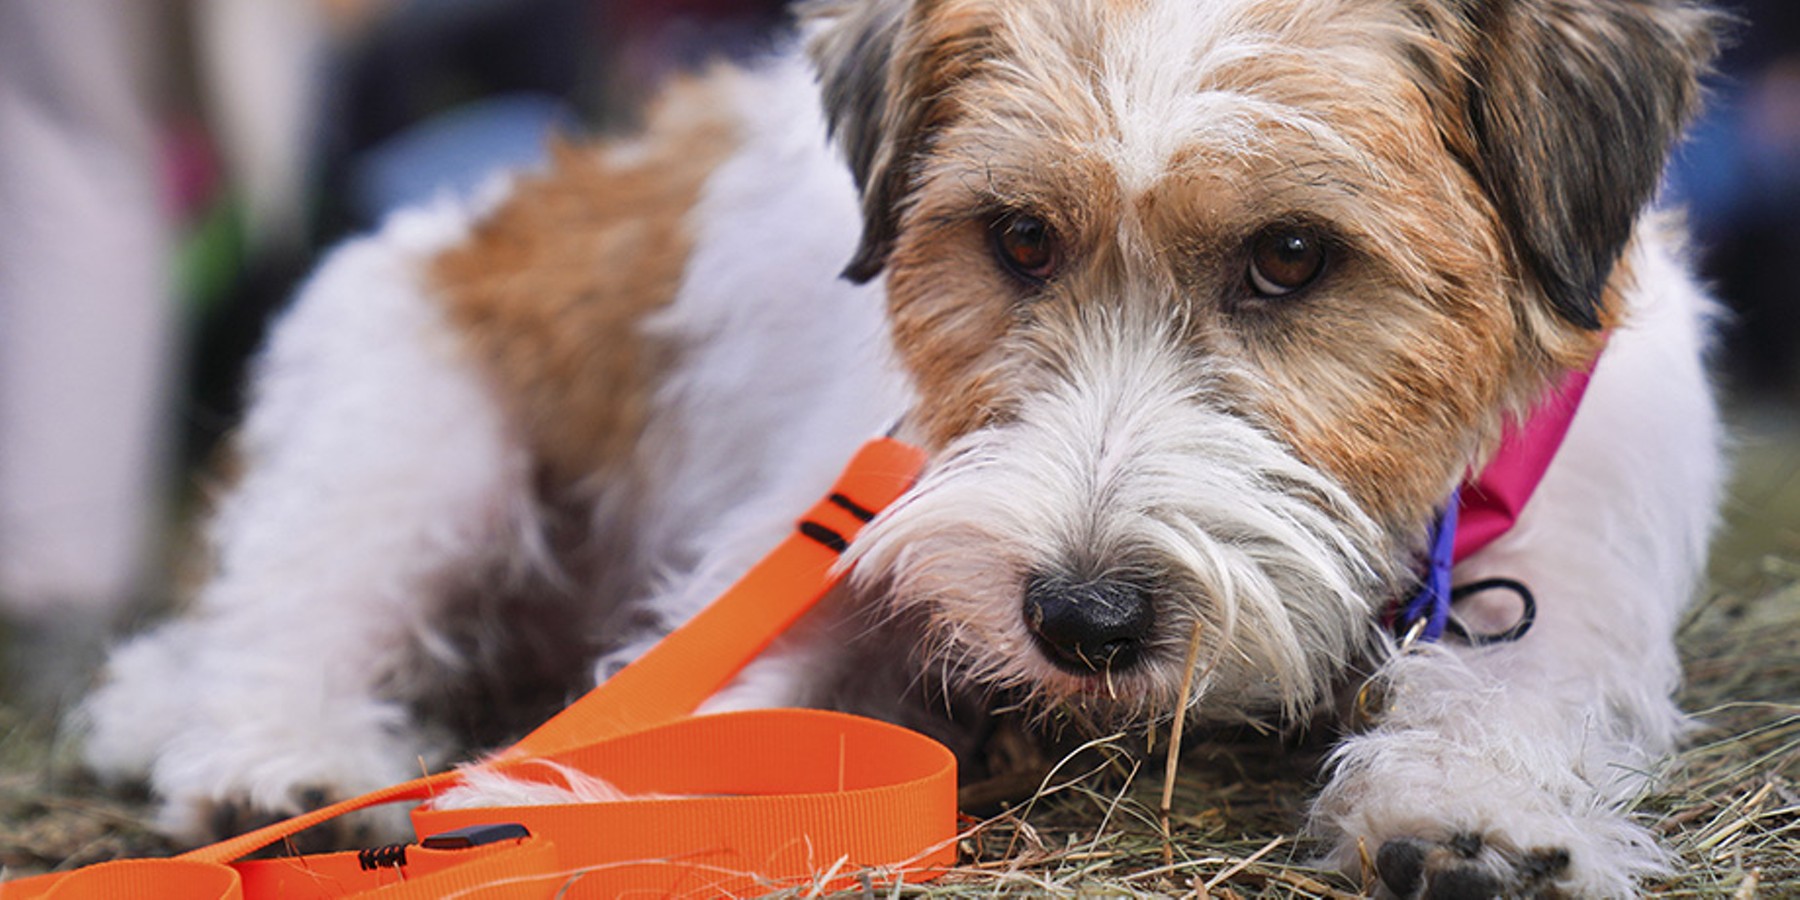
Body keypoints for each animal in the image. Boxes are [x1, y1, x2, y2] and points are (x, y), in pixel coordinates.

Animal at [81, 0, 1725, 895]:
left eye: (1292, 257)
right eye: (1018, 239)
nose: (1081, 621)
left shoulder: (1569, 553)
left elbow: (1528, 677)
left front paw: (1471, 811)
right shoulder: (829, 537)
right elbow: (712, 702)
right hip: (407, 451)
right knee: (268, 627)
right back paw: (271, 761)